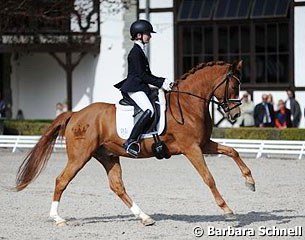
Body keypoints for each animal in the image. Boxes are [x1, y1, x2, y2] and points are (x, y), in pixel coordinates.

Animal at [14, 60, 254, 225]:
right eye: (234, 87)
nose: (235, 115)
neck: (187, 104)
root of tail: (75, 114)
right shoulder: (191, 148)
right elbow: (208, 178)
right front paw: (227, 210)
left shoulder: (203, 144)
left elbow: (232, 151)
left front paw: (250, 182)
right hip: (80, 156)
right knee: (61, 180)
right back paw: (57, 218)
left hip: (108, 156)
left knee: (117, 186)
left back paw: (144, 217)